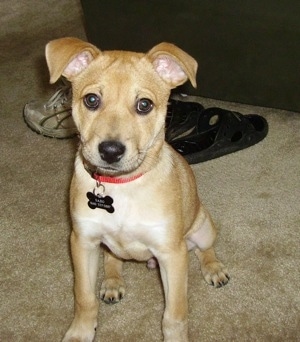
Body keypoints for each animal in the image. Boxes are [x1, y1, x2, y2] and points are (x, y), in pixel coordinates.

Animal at [45, 37, 230, 342]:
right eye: (91, 100)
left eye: (144, 104)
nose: (110, 151)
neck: (122, 187)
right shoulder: (82, 242)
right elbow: (84, 298)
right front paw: (81, 332)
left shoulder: (172, 254)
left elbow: (174, 315)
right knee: (112, 258)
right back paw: (111, 281)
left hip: (202, 228)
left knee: (206, 249)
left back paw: (214, 269)